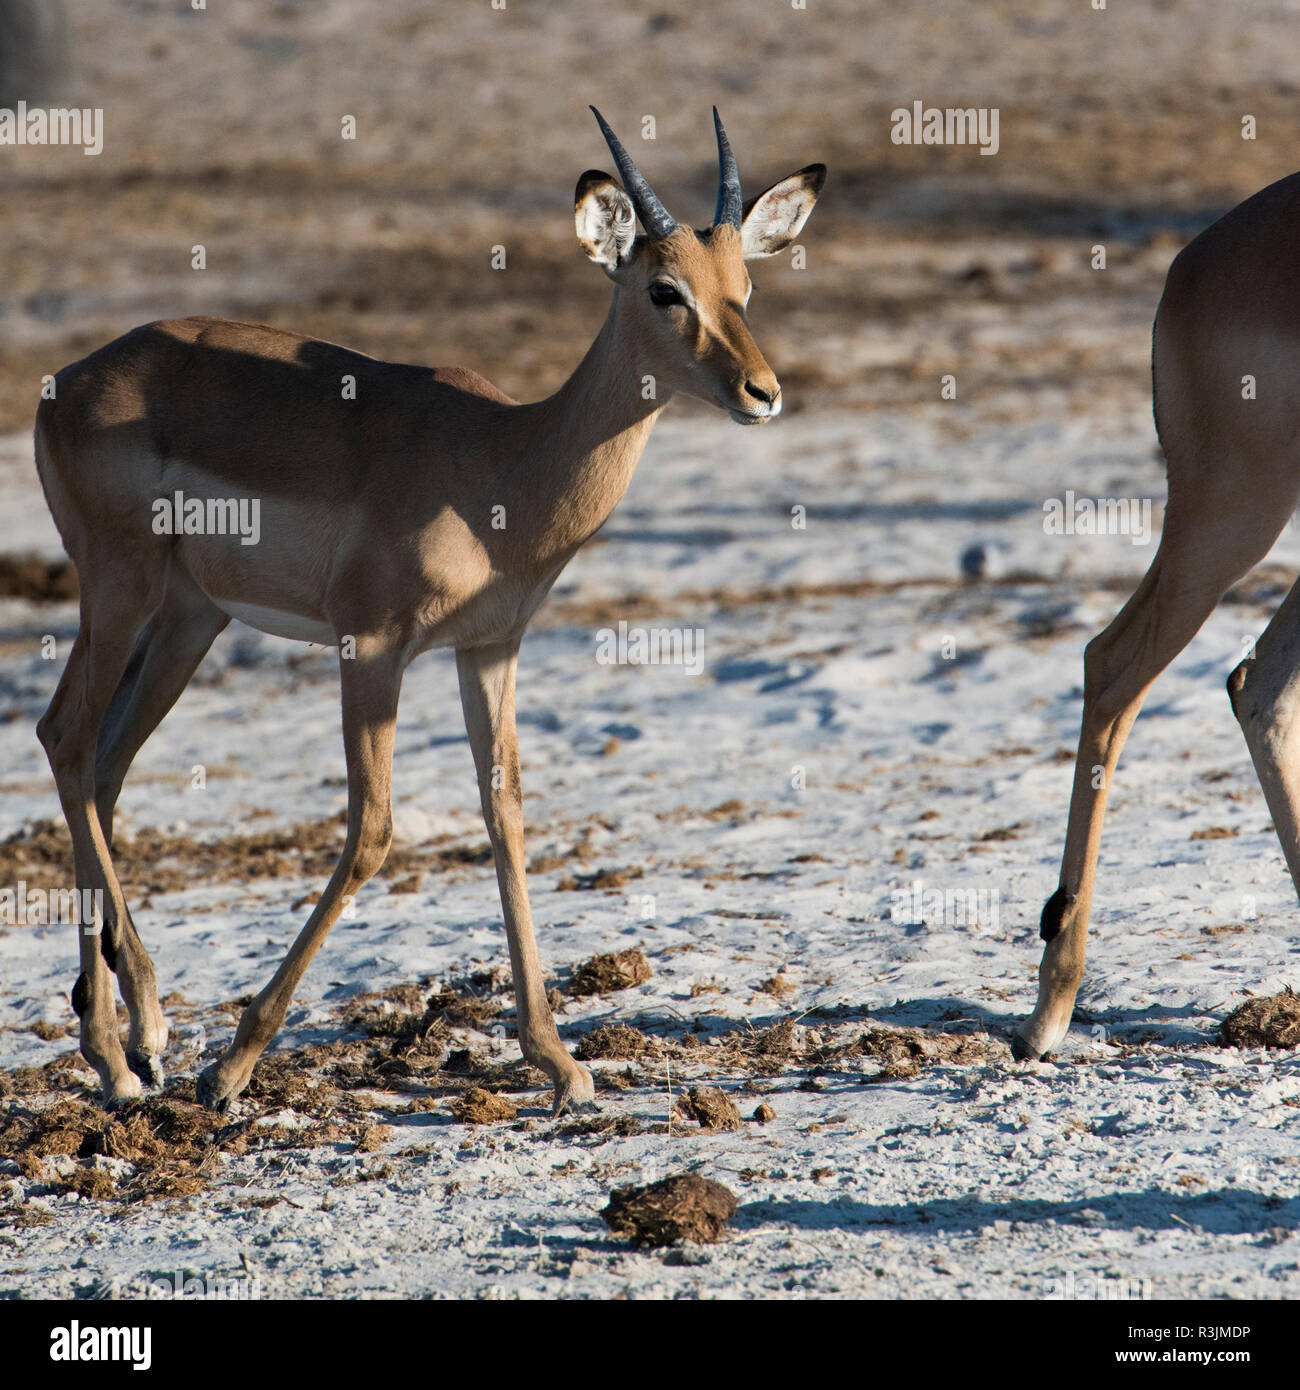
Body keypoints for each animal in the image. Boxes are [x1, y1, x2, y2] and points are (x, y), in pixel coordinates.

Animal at [34, 108, 825, 1114]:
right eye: (664, 290)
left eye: (746, 286)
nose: (764, 393)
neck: (500, 464)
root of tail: (65, 380)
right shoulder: (371, 647)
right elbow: (373, 830)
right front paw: (235, 1066)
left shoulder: (488, 648)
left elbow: (507, 814)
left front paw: (558, 1062)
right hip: (120, 588)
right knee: (65, 738)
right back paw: (138, 1041)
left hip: (187, 621)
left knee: (102, 766)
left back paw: (125, 1043)